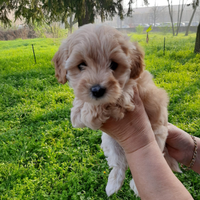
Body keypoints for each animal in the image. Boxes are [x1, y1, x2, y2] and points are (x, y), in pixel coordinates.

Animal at [52, 23, 182, 197]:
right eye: (81, 65)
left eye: (114, 65)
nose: (97, 90)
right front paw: (78, 109)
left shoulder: (127, 95)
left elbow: (110, 100)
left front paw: (85, 114)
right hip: (110, 142)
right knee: (120, 163)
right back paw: (113, 185)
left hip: (158, 136)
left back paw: (135, 186)